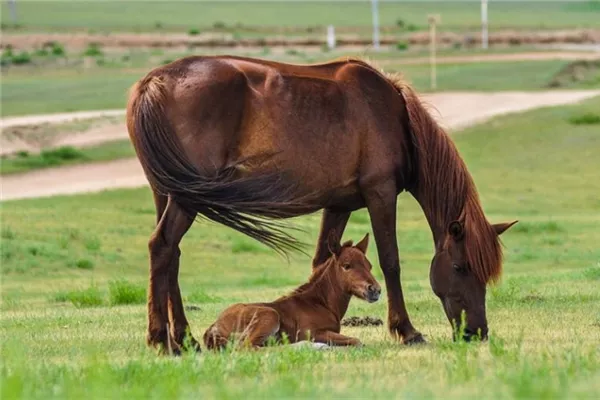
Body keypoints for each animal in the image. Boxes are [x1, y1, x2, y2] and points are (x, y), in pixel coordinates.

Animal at [202, 234, 380, 350]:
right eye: (346, 265)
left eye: (369, 266)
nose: (375, 290)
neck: (320, 303)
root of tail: (214, 326)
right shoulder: (312, 332)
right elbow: (356, 341)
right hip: (269, 315)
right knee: (248, 348)